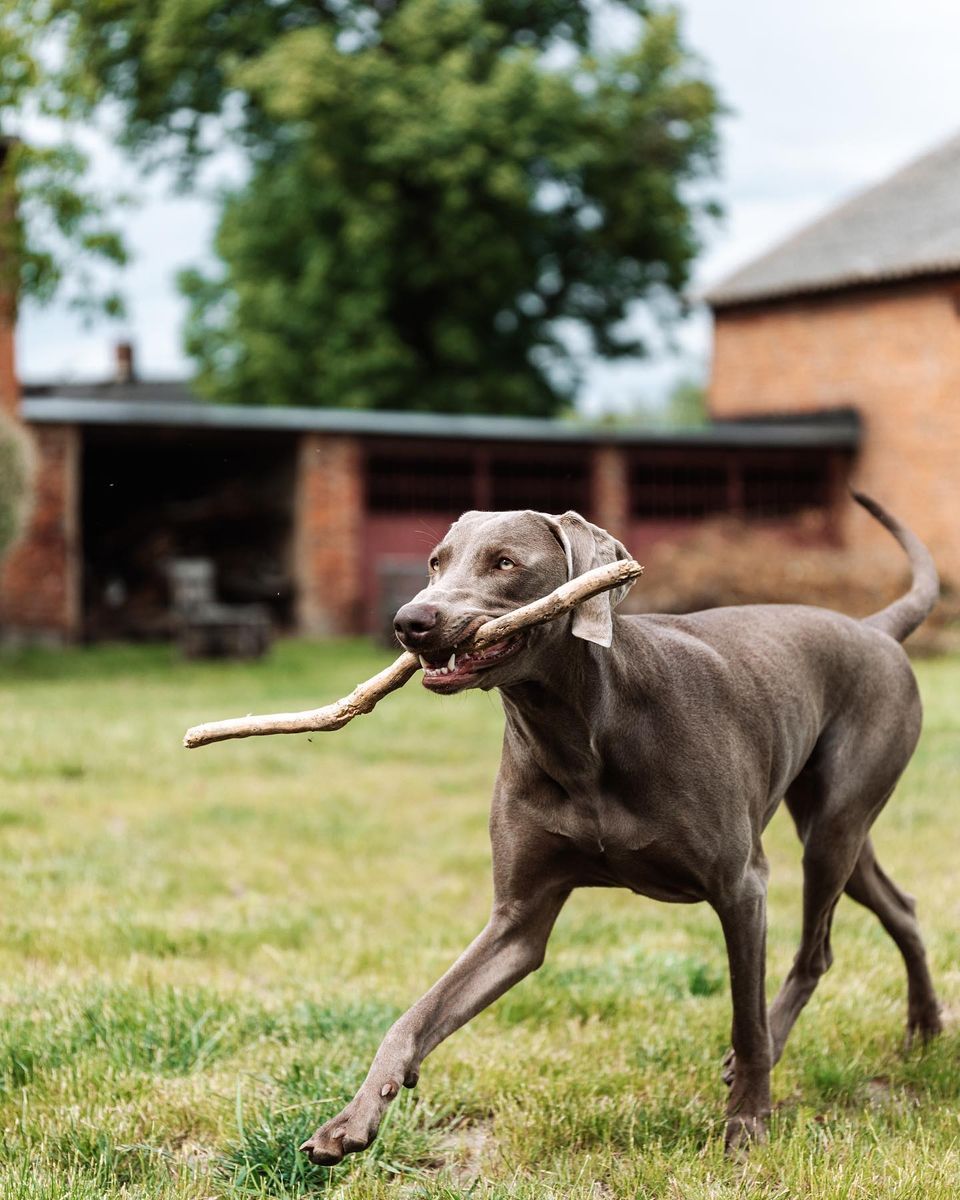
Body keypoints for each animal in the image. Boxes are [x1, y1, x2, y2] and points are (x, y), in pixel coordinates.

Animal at [303, 492, 940, 1156]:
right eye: (435, 562)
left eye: (504, 563)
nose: (410, 620)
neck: (581, 732)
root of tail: (873, 629)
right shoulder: (517, 924)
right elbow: (415, 1017)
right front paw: (351, 1121)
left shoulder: (742, 889)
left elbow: (745, 1019)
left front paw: (747, 1123)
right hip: (841, 832)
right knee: (900, 906)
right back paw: (925, 1028)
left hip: (834, 826)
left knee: (815, 954)